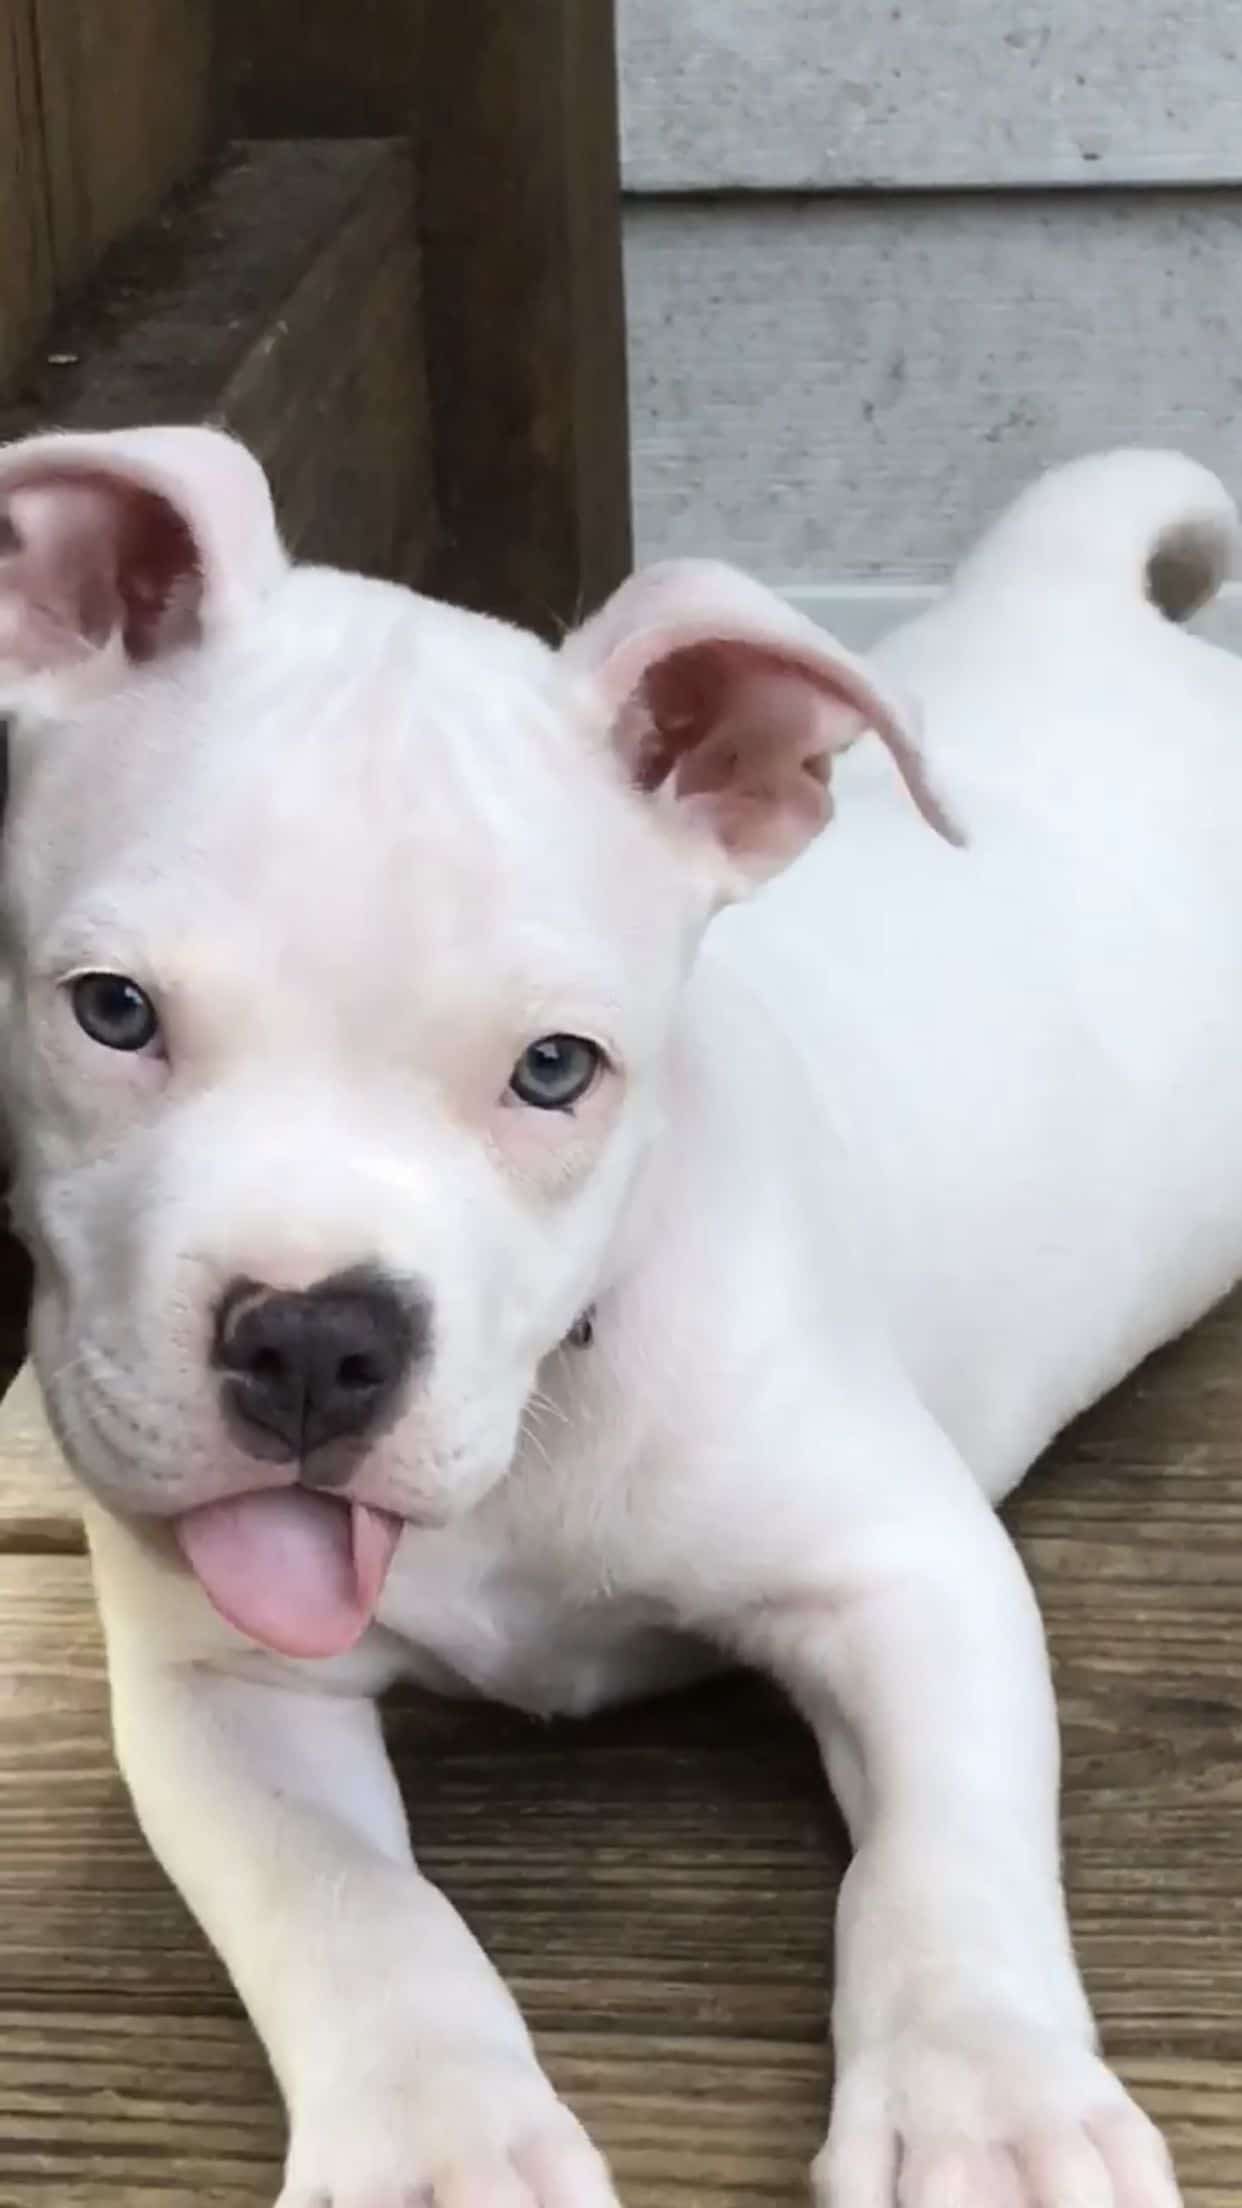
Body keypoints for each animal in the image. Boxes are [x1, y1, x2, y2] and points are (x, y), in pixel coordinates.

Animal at [0, 421, 1219, 2199]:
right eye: (110, 1013)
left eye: (555, 1069)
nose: (313, 1338)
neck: (546, 1410)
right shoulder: (220, 1691)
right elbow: (356, 1910)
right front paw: (438, 2141)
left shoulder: (908, 1576)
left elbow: (939, 1861)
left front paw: (979, 2105)